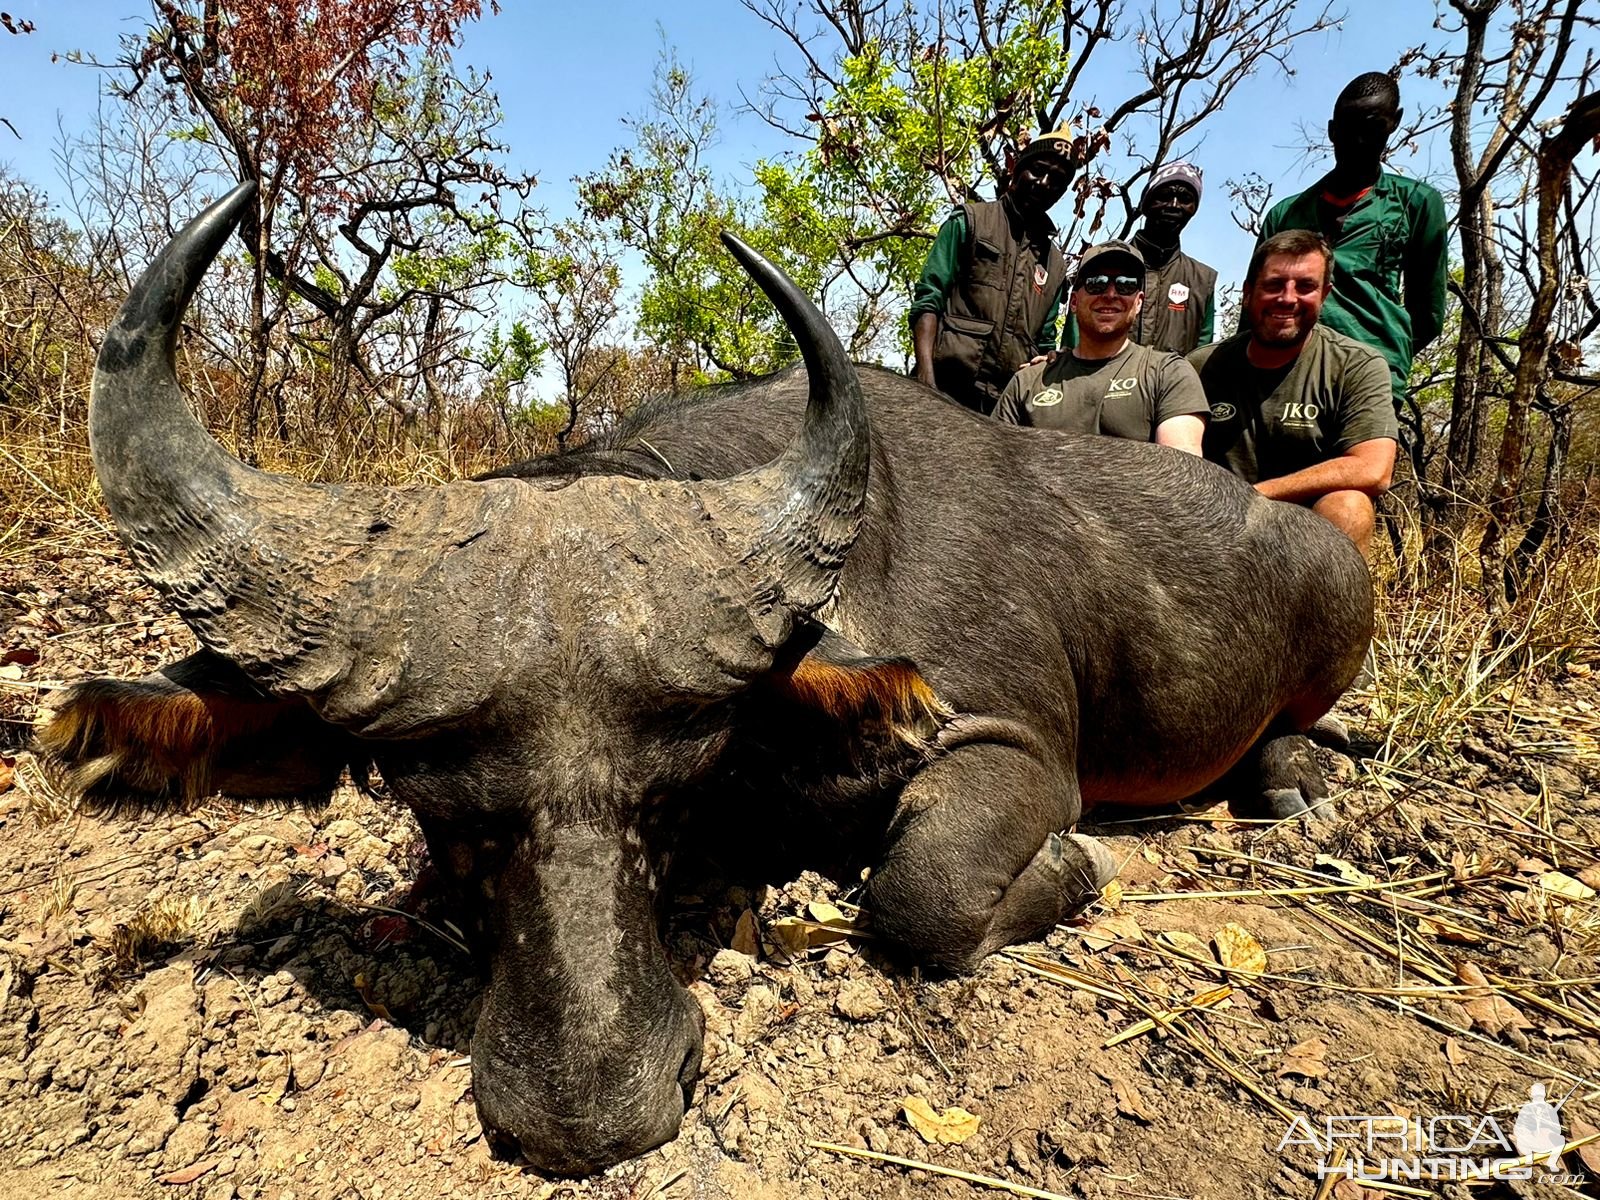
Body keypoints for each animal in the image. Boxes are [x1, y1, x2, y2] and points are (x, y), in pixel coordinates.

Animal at [34, 183, 1363, 1177]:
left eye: (671, 794)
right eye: (441, 814)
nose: (590, 1116)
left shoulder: (1012, 748)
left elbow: (921, 896)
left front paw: (1083, 867)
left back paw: (1290, 775)